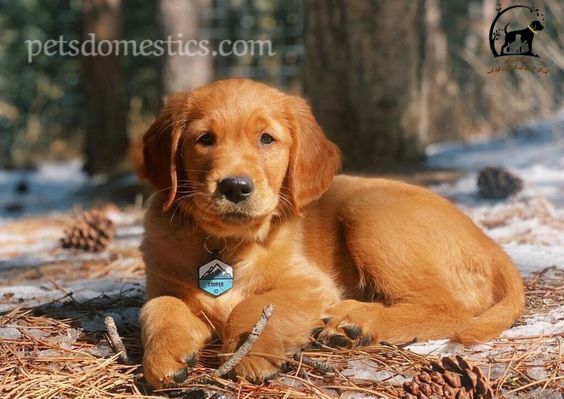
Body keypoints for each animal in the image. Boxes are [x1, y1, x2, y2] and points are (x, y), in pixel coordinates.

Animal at [140, 78, 524, 388]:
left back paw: (357, 321)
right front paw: (164, 358)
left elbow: (252, 303)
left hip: (369, 212)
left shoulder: (312, 284)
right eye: (204, 139)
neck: (227, 243)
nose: (235, 186)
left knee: (450, 308)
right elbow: (158, 307)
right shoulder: (163, 284)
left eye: (267, 139)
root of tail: (492, 247)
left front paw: (249, 352)